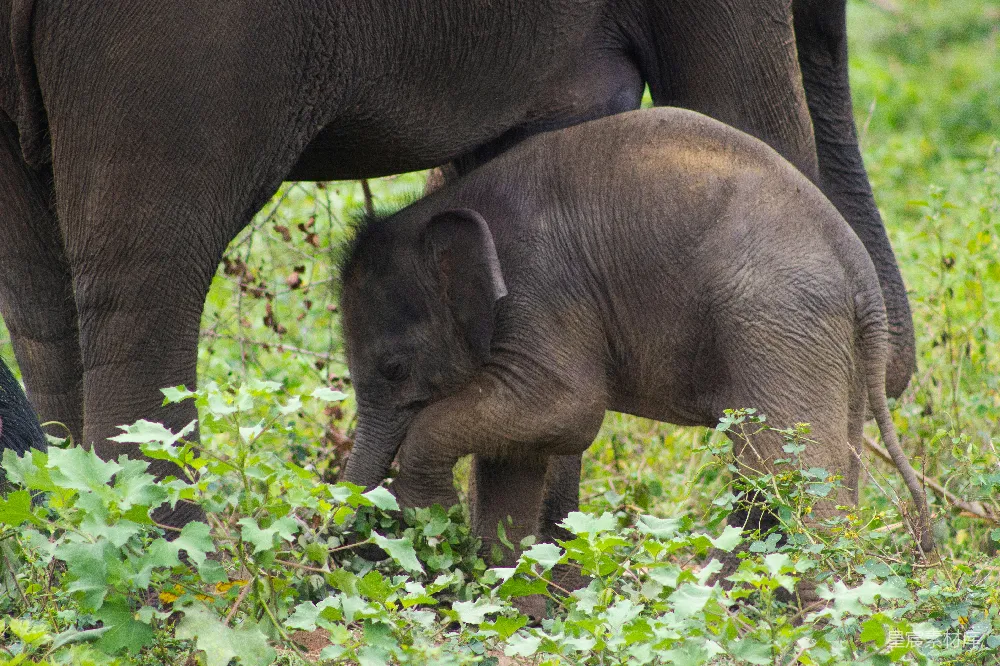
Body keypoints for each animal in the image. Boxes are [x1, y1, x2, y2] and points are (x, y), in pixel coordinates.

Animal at [339, 108, 934, 566]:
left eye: (393, 368)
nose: (359, 545)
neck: (448, 205)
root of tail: (860, 270)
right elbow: (519, 452)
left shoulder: (543, 289)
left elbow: (567, 409)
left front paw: (428, 512)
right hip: (825, 342)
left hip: (779, 319)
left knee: (782, 466)